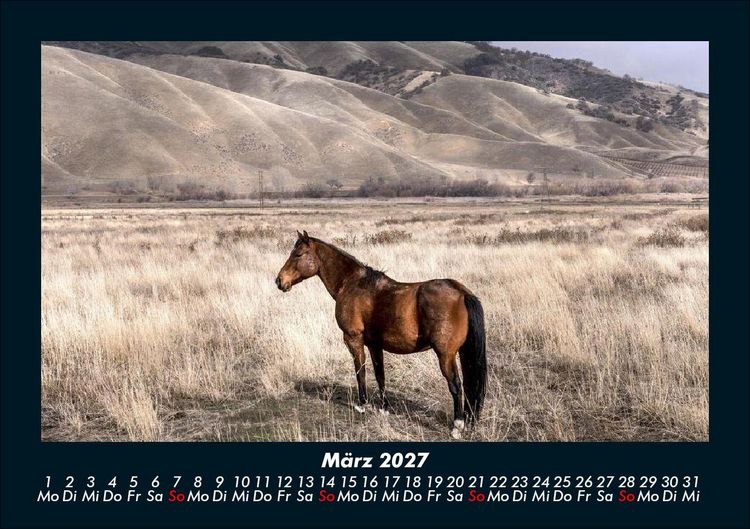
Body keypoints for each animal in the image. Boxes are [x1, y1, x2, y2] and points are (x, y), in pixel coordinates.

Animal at [275, 231, 486, 438]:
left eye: (298, 254)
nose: (279, 281)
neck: (352, 284)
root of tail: (462, 292)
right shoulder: (374, 344)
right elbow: (380, 374)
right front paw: (384, 407)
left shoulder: (353, 339)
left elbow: (360, 371)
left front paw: (362, 405)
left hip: (445, 355)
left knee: (456, 385)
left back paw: (457, 425)